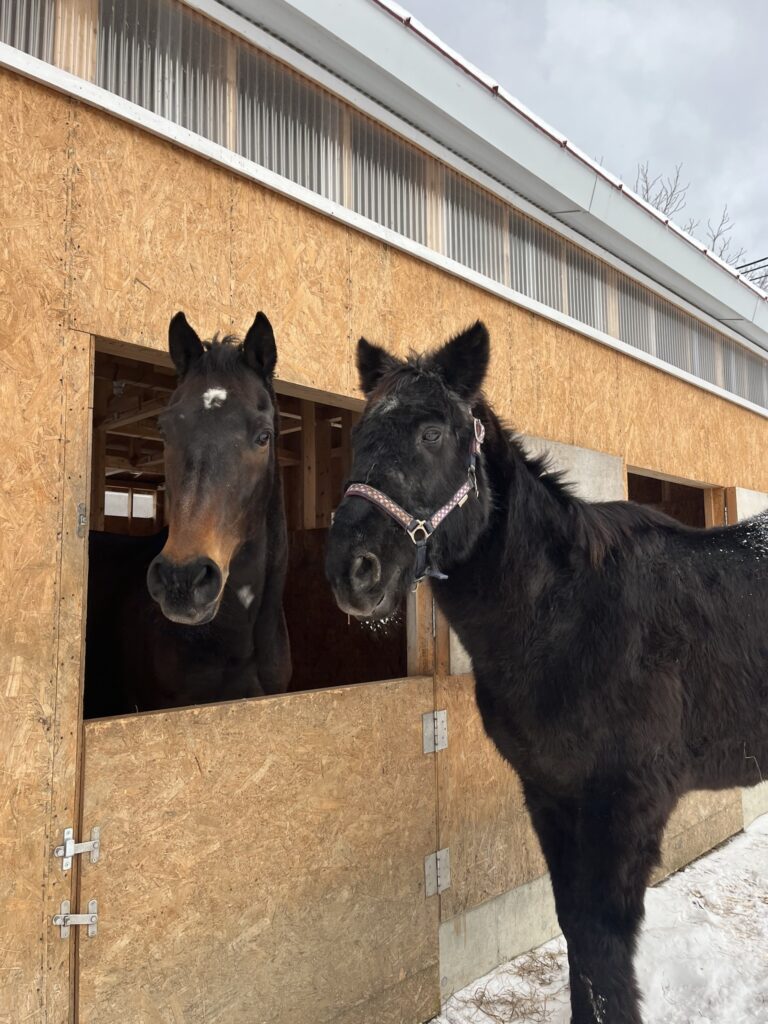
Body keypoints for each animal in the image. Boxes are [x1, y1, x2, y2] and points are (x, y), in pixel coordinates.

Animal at [325, 321, 768, 1024]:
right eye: (360, 433)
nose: (352, 570)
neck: (569, 618)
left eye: (433, 433)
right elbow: (576, 933)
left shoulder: (627, 804)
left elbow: (603, 946)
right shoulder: (549, 794)